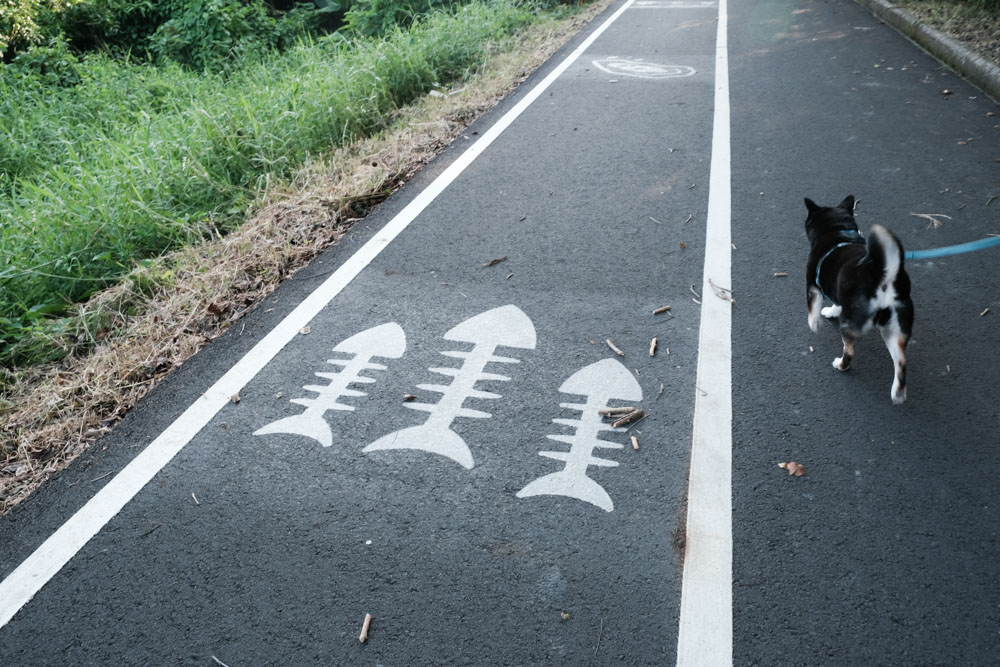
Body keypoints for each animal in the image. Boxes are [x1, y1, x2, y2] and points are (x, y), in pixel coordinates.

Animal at [804, 196, 916, 404]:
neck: (838, 232)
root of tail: (883, 276)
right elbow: (836, 302)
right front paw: (831, 312)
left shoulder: (812, 285)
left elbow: (813, 309)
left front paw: (815, 323)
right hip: (894, 329)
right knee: (901, 362)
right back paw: (898, 393)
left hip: (850, 325)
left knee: (849, 352)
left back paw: (841, 364)